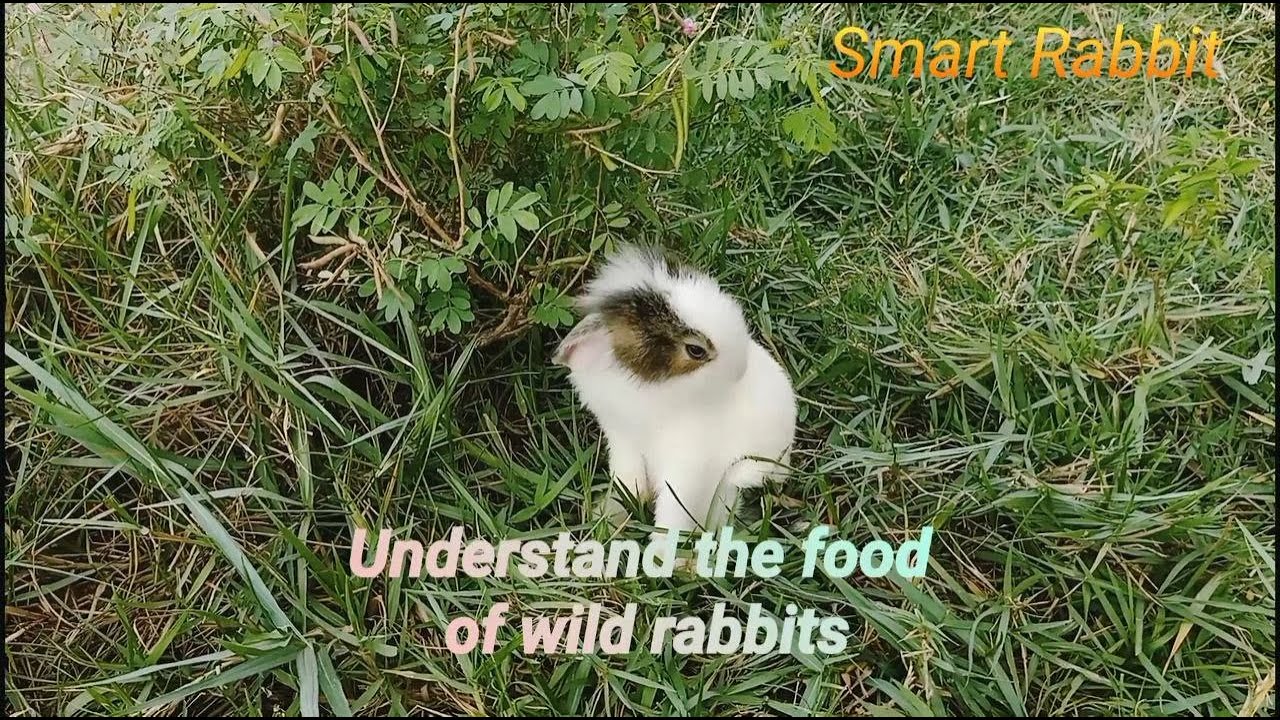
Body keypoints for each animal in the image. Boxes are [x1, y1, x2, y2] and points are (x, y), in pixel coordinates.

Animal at [552, 244, 797, 541]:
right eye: (695, 350)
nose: (741, 366)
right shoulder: (623, 440)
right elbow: (629, 484)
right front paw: (607, 521)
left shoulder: (688, 467)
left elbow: (674, 513)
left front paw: (661, 551)